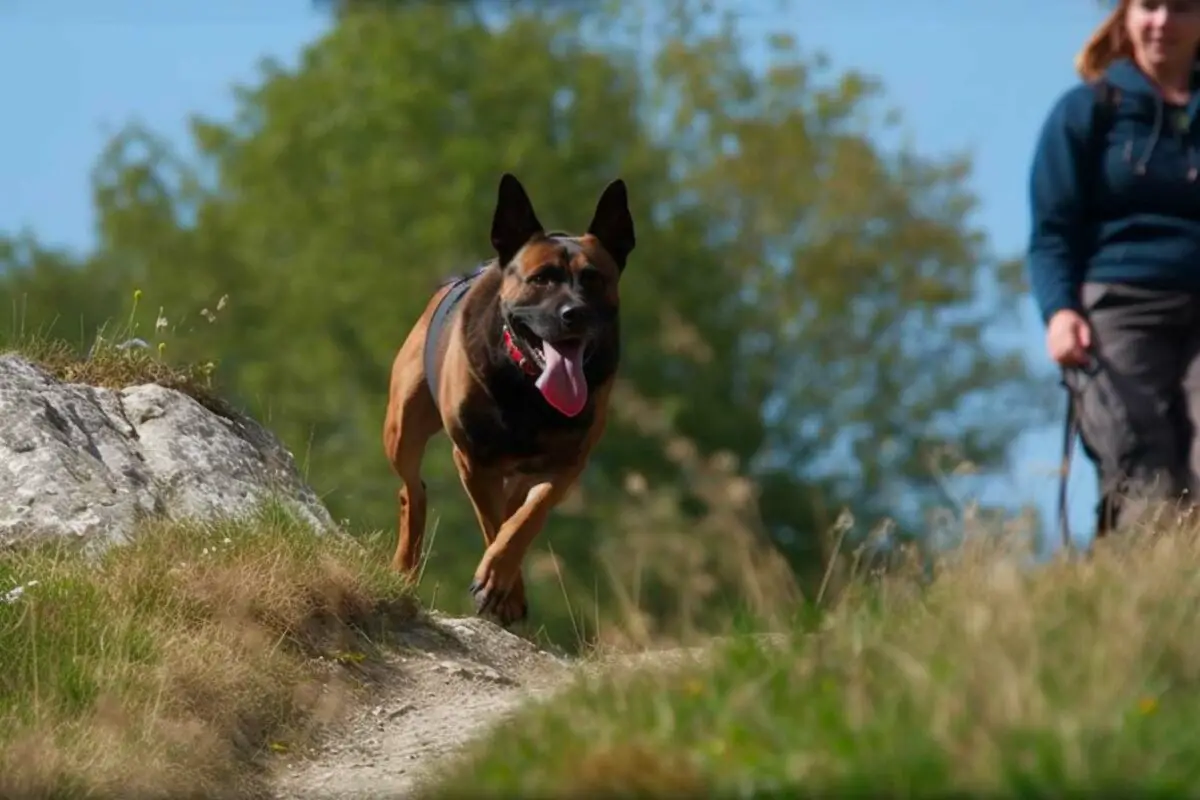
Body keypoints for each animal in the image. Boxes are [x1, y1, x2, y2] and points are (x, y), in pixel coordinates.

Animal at [381, 173, 638, 623]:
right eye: (541, 279)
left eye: (594, 279)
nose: (574, 314)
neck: (527, 386)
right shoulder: (473, 460)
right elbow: (494, 521)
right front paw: (502, 587)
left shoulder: (567, 464)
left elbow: (524, 520)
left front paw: (501, 578)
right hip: (402, 428)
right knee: (412, 489)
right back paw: (406, 562)